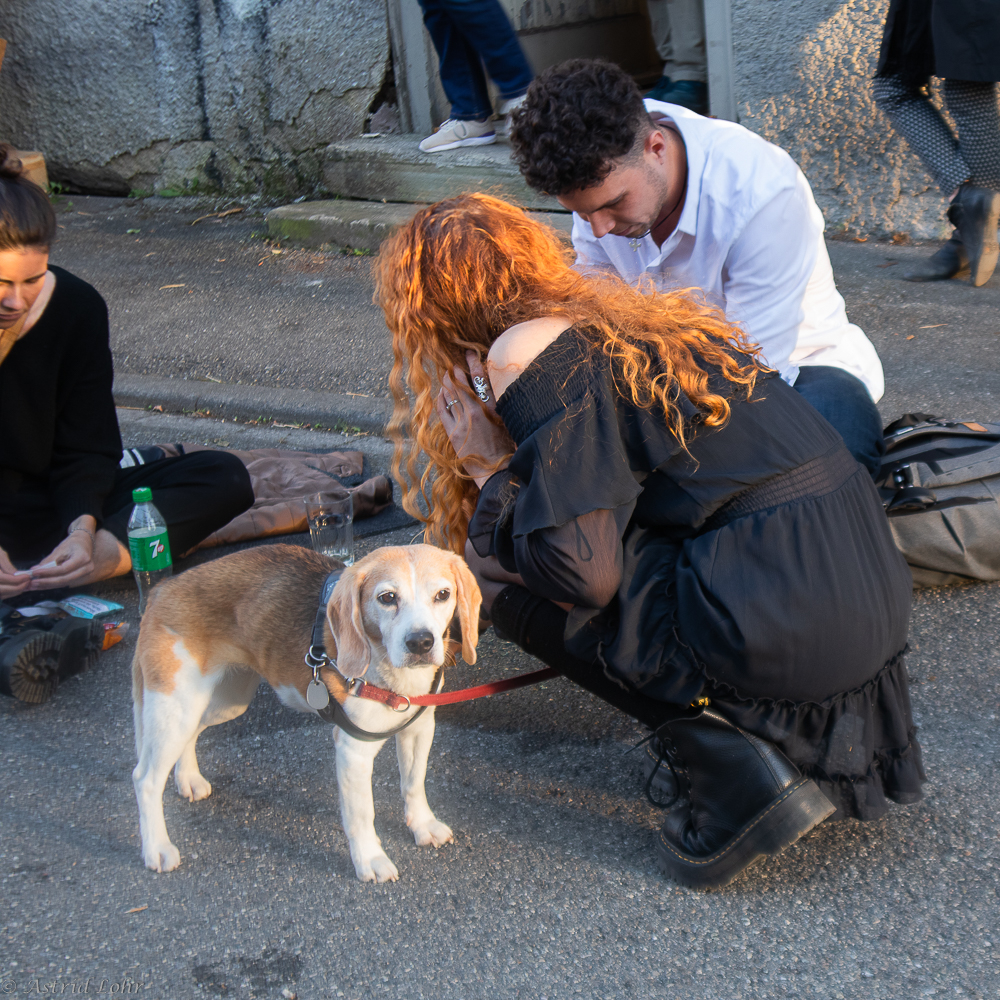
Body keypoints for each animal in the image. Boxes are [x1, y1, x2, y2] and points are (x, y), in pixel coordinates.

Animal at [131, 544, 482, 880]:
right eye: (387, 598)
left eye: (442, 595)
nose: (421, 642)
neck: (388, 672)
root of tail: (162, 588)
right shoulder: (353, 751)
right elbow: (361, 813)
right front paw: (370, 860)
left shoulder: (418, 729)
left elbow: (413, 782)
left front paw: (422, 825)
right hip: (176, 705)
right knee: (144, 778)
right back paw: (157, 848)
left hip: (222, 701)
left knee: (191, 735)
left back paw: (188, 778)